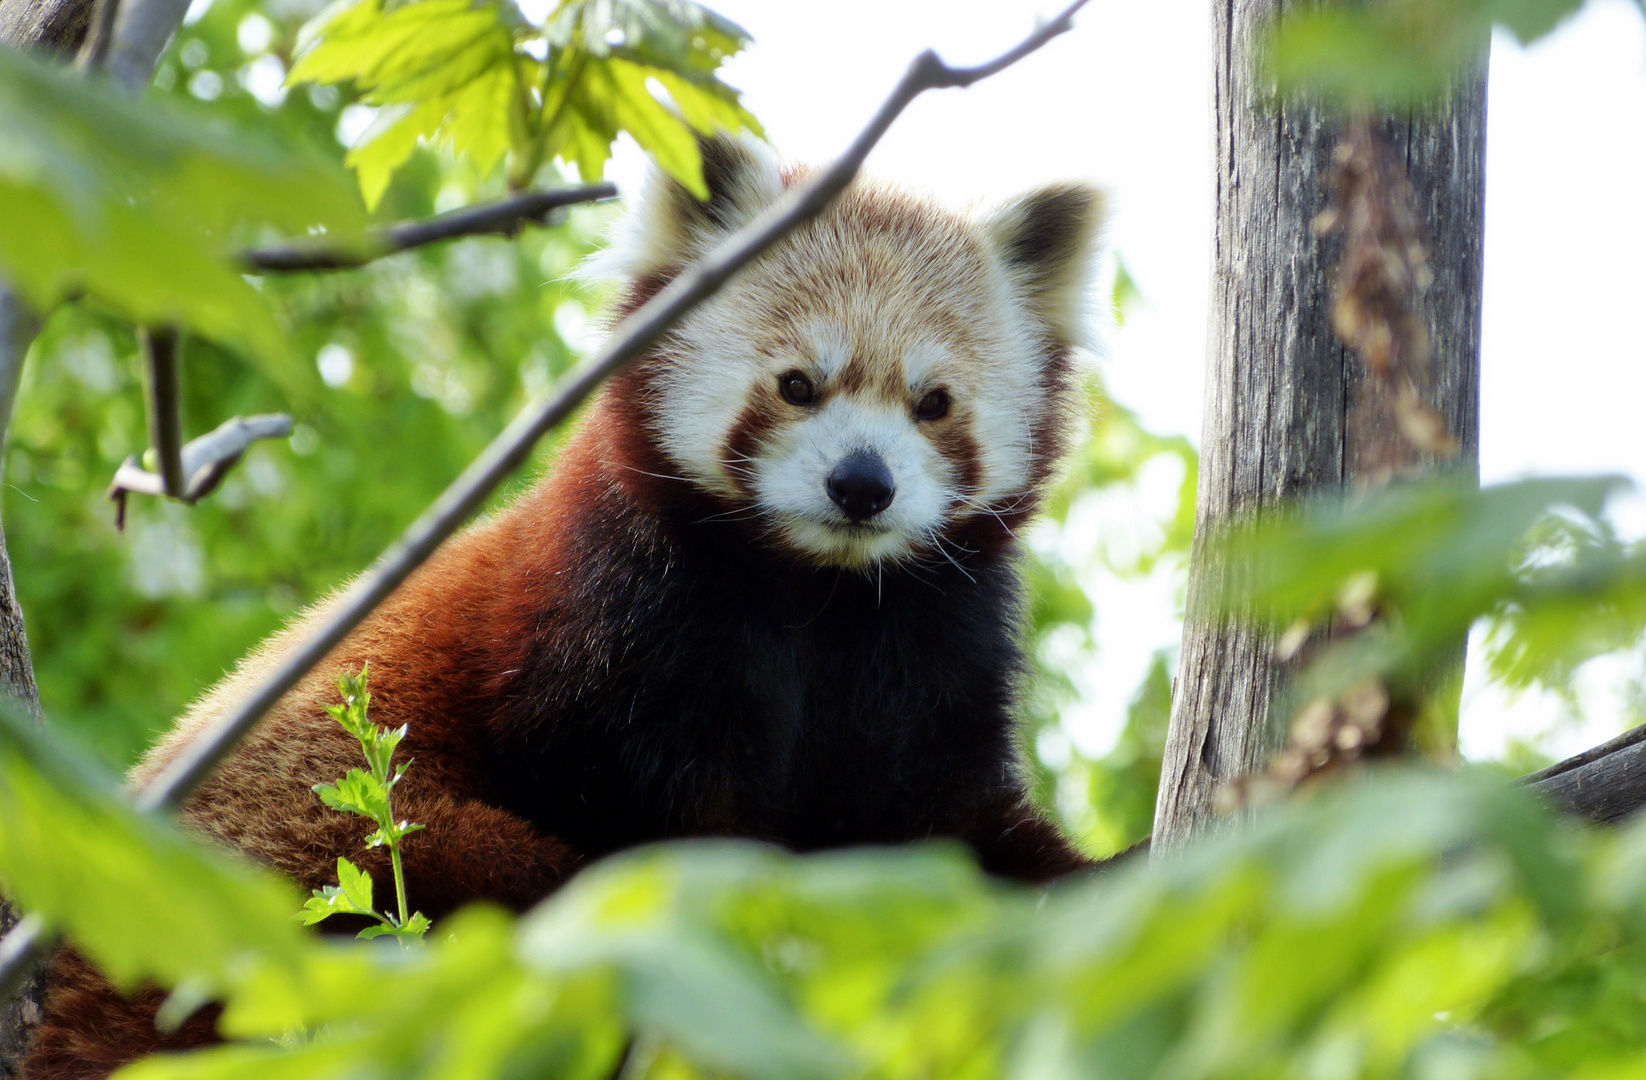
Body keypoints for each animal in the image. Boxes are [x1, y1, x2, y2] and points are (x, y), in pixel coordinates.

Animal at [22, 137, 1106, 1080]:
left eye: (934, 403)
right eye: (797, 385)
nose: (862, 484)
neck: (811, 591)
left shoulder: (928, 639)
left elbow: (944, 820)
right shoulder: (611, 619)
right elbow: (644, 821)